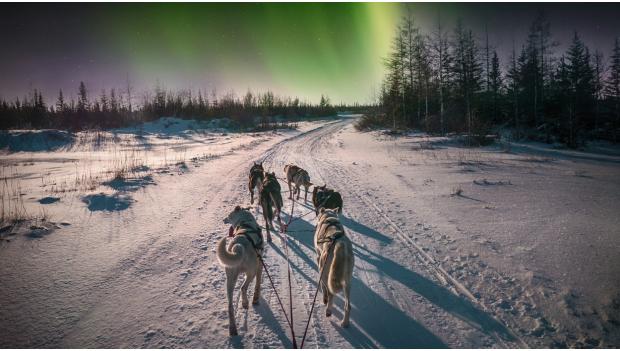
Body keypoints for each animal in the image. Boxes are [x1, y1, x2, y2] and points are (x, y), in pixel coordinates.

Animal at [217, 208, 262, 336]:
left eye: (228, 216)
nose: (223, 219)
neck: (245, 223)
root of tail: (239, 245)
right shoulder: (260, 265)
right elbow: (258, 284)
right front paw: (256, 299)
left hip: (230, 279)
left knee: (230, 306)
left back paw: (233, 329)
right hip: (251, 272)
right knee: (243, 287)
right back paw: (245, 303)